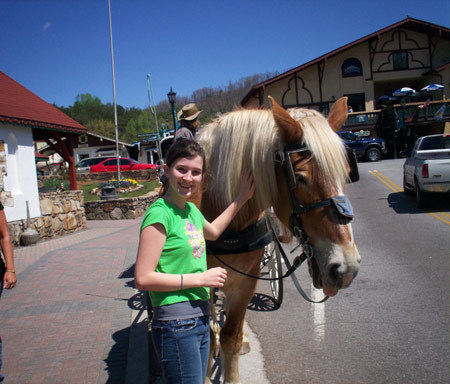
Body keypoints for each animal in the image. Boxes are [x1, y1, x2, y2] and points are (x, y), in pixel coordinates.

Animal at [198, 97, 362, 382]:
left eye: (345, 173)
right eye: (301, 178)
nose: (346, 269)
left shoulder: (246, 281)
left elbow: (231, 336)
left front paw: (233, 350)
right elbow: (207, 334)